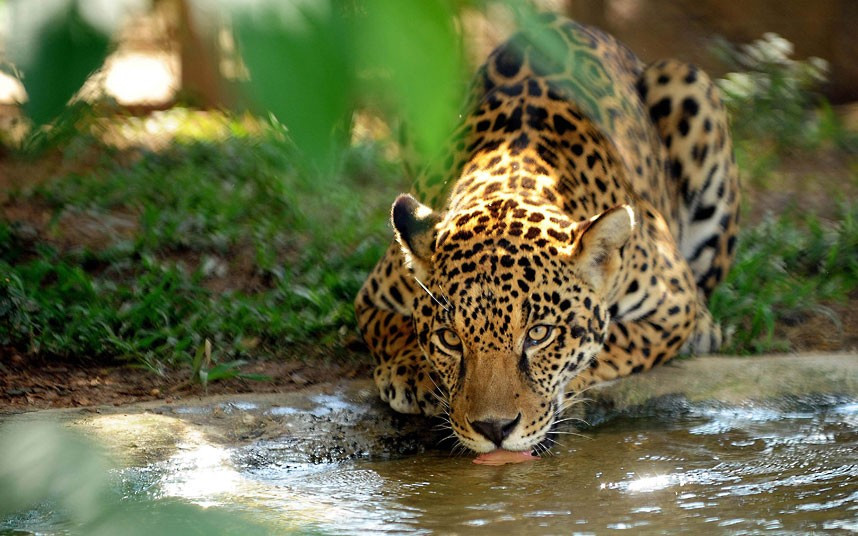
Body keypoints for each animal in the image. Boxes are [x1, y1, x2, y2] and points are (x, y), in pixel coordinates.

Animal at [354, 13, 739, 454]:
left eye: (539, 335)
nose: (494, 429)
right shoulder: (372, 296)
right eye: (450, 339)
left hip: (689, 85)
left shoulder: (673, 305)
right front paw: (413, 372)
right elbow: (390, 328)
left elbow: (615, 343)